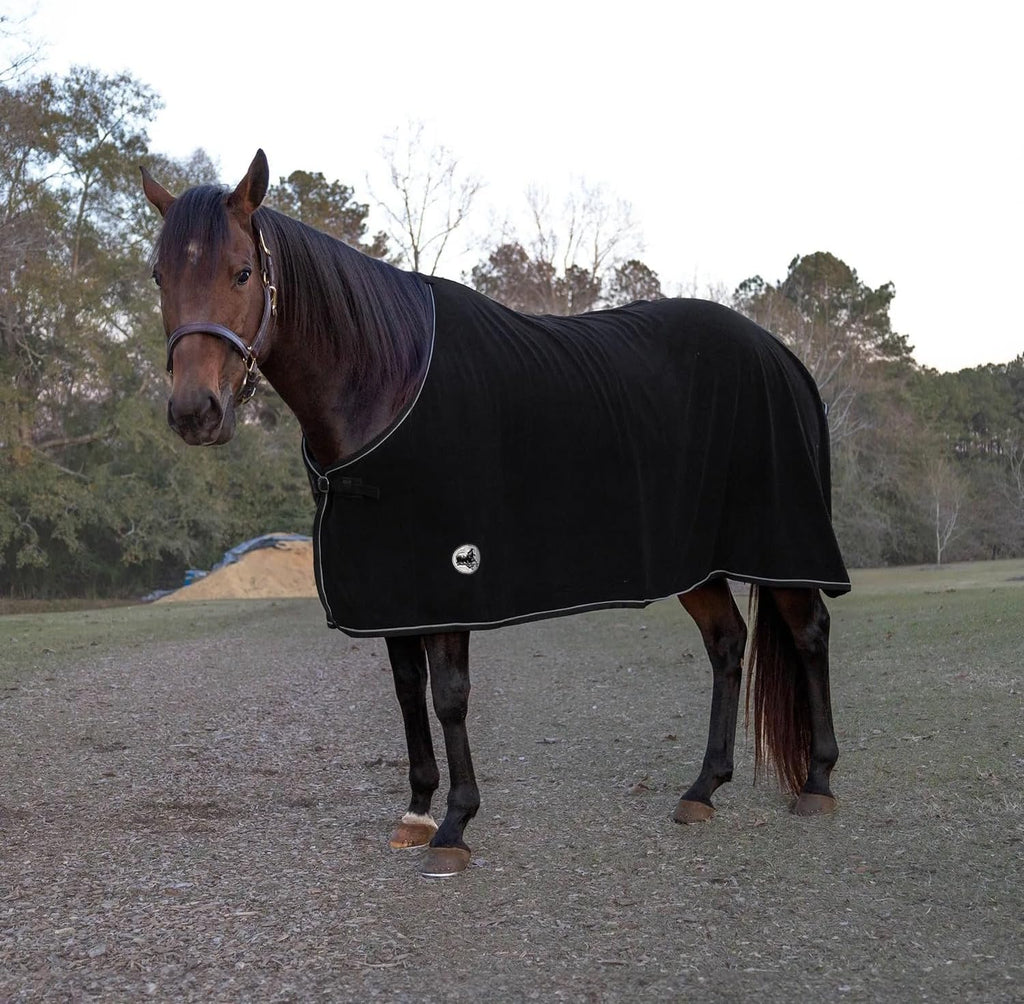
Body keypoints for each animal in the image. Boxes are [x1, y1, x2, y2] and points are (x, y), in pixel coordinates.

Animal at [141, 150, 849, 877]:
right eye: (160, 274)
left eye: (242, 271)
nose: (195, 412)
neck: (387, 381)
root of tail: (782, 355)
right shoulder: (392, 584)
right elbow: (407, 689)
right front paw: (417, 810)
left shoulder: (453, 576)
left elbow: (450, 695)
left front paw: (456, 825)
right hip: (696, 562)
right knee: (728, 643)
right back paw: (704, 788)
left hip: (782, 543)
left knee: (809, 632)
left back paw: (818, 781)